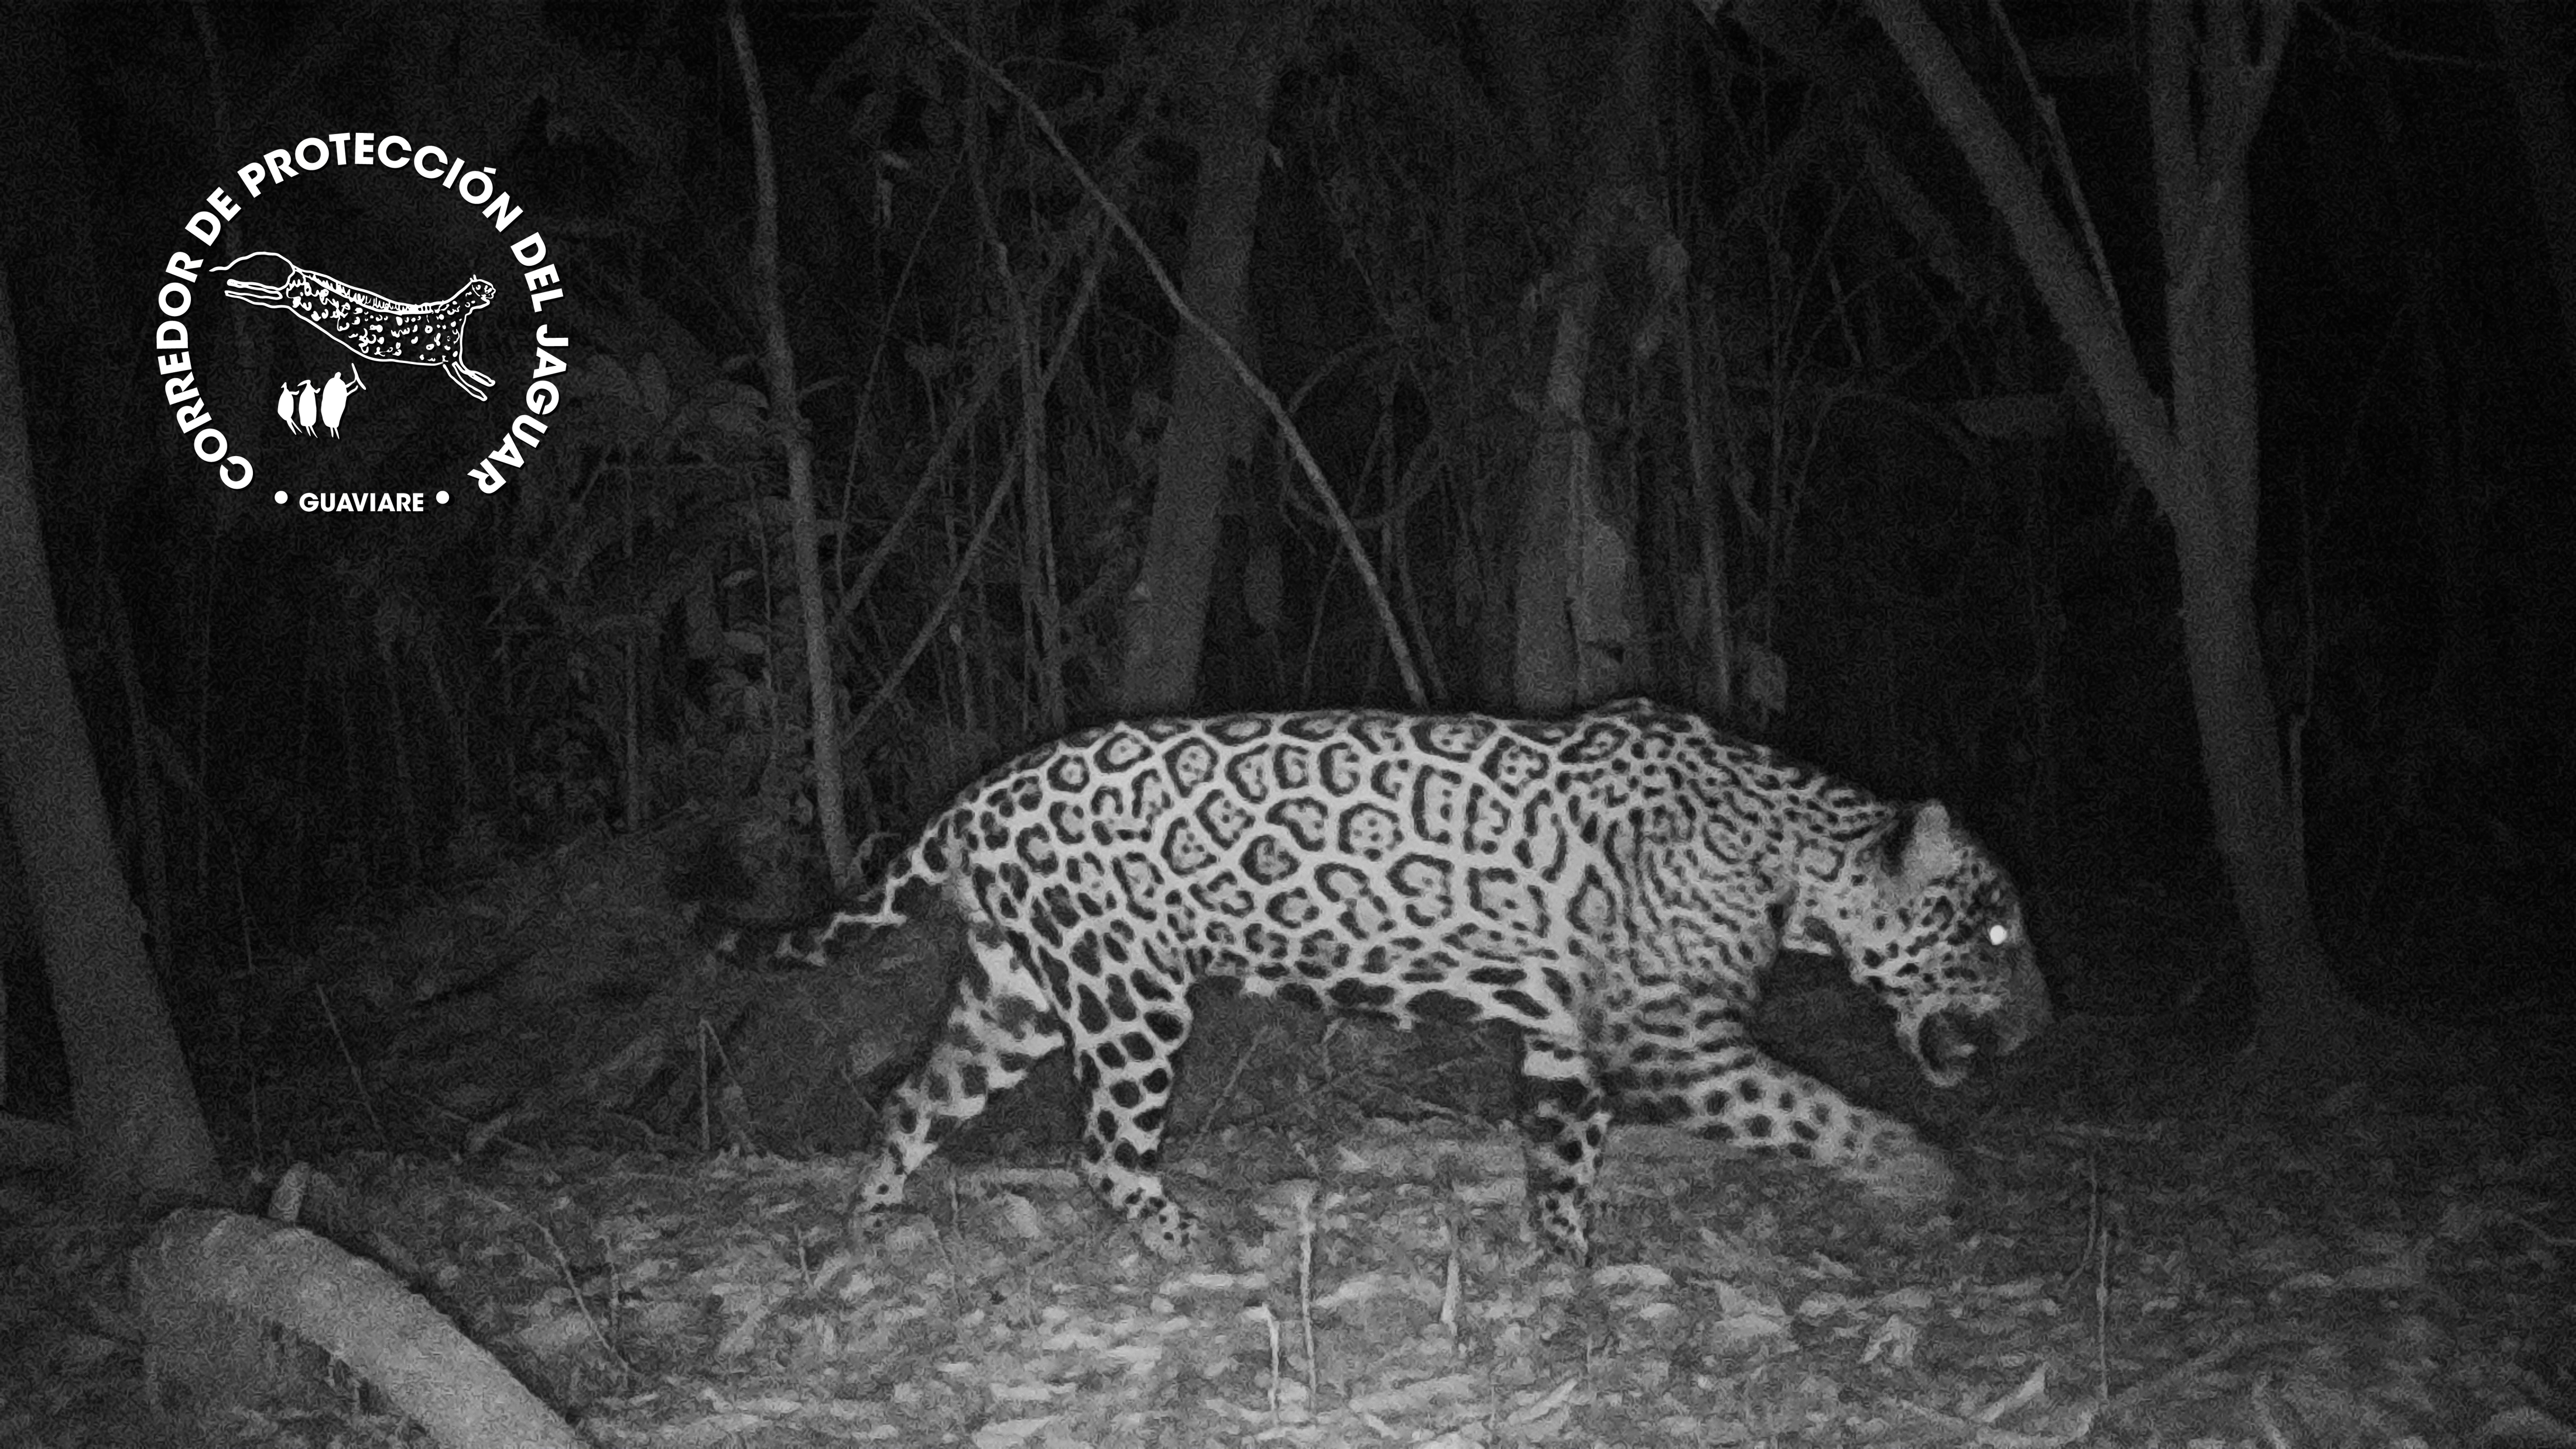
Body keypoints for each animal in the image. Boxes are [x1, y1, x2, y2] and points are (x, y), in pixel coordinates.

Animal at [710, 698, 2050, 1264]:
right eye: (1992, 933)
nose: (2043, 1020)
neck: (1791, 854)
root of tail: (973, 796)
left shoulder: (1572, 1038)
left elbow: (1566, 1150)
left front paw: (1566, 1259)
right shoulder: (1668, 1036)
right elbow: (1807, 1108)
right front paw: (1916, 1170)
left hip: (1022, 994)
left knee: (916, 1097)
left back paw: (868, 1225)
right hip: (1131, 997)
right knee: (1103, 1151)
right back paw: (1192, 1241)